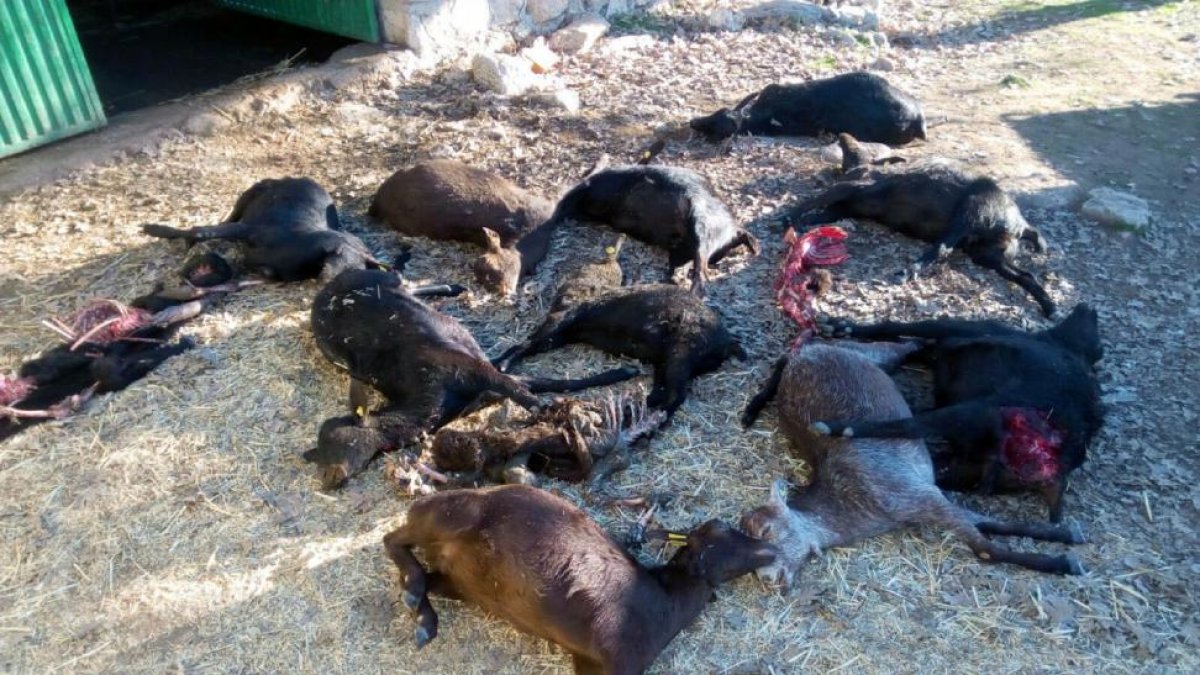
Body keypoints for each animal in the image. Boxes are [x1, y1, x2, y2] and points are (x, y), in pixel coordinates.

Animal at [143, 177, 387, 282]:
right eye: (343, 259)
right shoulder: (248, 229)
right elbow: (201, 231)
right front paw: (156, 229)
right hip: (248, 195)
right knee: (225, 220)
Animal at [305, 269, 638, 488]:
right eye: (318, 452)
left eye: (341, 440)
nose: (328, 478)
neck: (432, 402)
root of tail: (325, 288)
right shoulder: (483, 387)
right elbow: (543, 382)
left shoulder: (470, 366)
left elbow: (527, 387)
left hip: (382, 280)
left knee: (404, 280)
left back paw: (452, 287)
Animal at [384, 483, 778, 673]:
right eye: (720, 538)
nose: (770, 549)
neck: (664, 605)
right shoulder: (617, 658)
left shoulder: (589, 662)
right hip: (453, 514)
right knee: (393, 537)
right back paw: (414, 594)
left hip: (462, 581)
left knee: (427, 577)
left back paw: (424, 618)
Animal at [740, 340, 1085, 590]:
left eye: (766, 530)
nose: (768, 581)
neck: (856, 504)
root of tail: (803, 357)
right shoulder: (923, 497)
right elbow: (987, 523)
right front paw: (1066, 537)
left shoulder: (918, 494)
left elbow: (985, 545)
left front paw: (1064, 561)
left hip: (868, 354)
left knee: (901, 345)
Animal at [782, 162, 1056, 316]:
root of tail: (1017, 225)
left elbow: (813, 200)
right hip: (986, 255)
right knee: (1025, 275)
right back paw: (1049, 305)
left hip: (971, 221)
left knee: (942, 249)